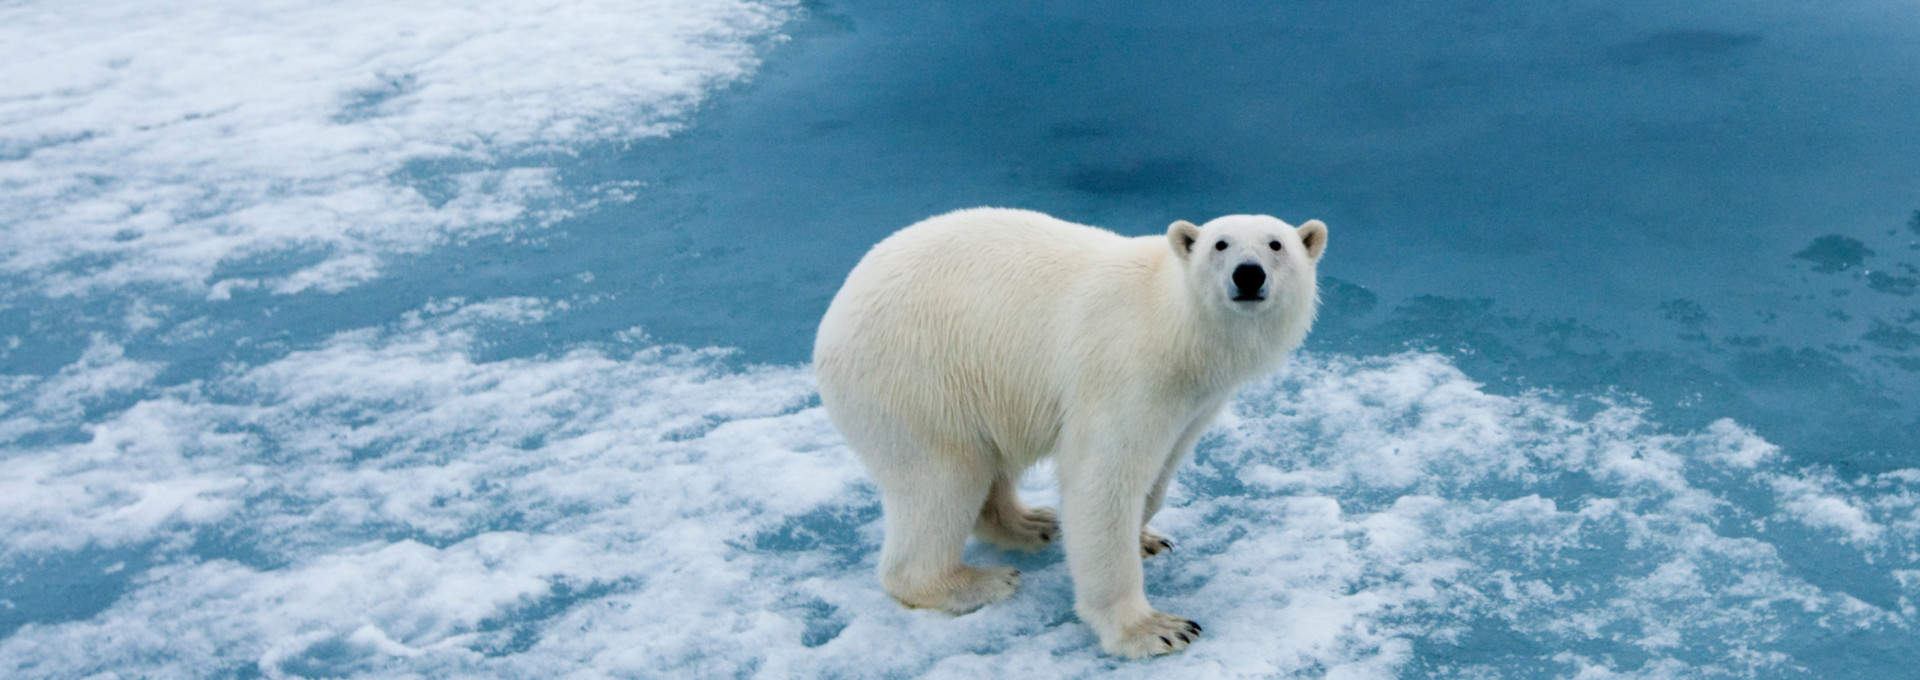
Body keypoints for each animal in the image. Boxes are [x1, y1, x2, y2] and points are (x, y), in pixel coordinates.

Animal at [810, 208, 1320, 656]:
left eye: (1276, 244)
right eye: (1220, 244)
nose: (1248, 275)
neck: (1176, 324)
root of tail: (833, 315)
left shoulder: (1199, 401)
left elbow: (1161, 468)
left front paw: (1146, 537)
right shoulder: (1126, 369)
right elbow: (1102, 478)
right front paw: (1155, 629)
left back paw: (1034, 523)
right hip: (917, 377)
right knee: (942, 478)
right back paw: (978, 581)